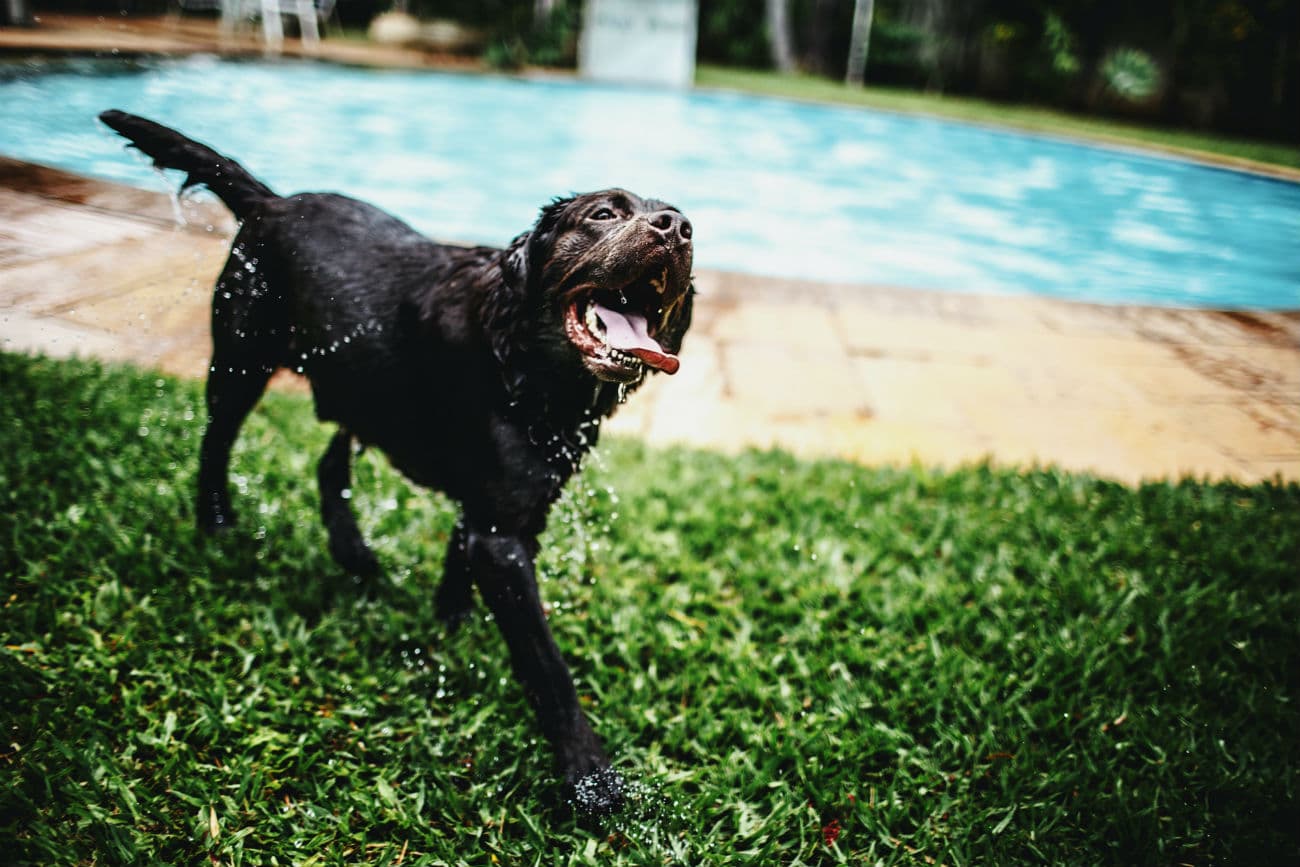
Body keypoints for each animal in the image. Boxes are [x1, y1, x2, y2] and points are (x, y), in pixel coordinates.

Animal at [98, 110, 691, 816]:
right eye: (603, 213)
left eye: (684, 223)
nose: (677, 227)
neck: (522, 363)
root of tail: (272, 201)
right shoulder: (502, 534)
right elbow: (548, 667)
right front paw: (589, 778)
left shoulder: (505, 510)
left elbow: (458, 565)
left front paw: (447, 627)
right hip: (242, 361)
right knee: (216, 444)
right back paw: (217, 526)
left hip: (355, 382)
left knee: (329, 465)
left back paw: (354, 555)